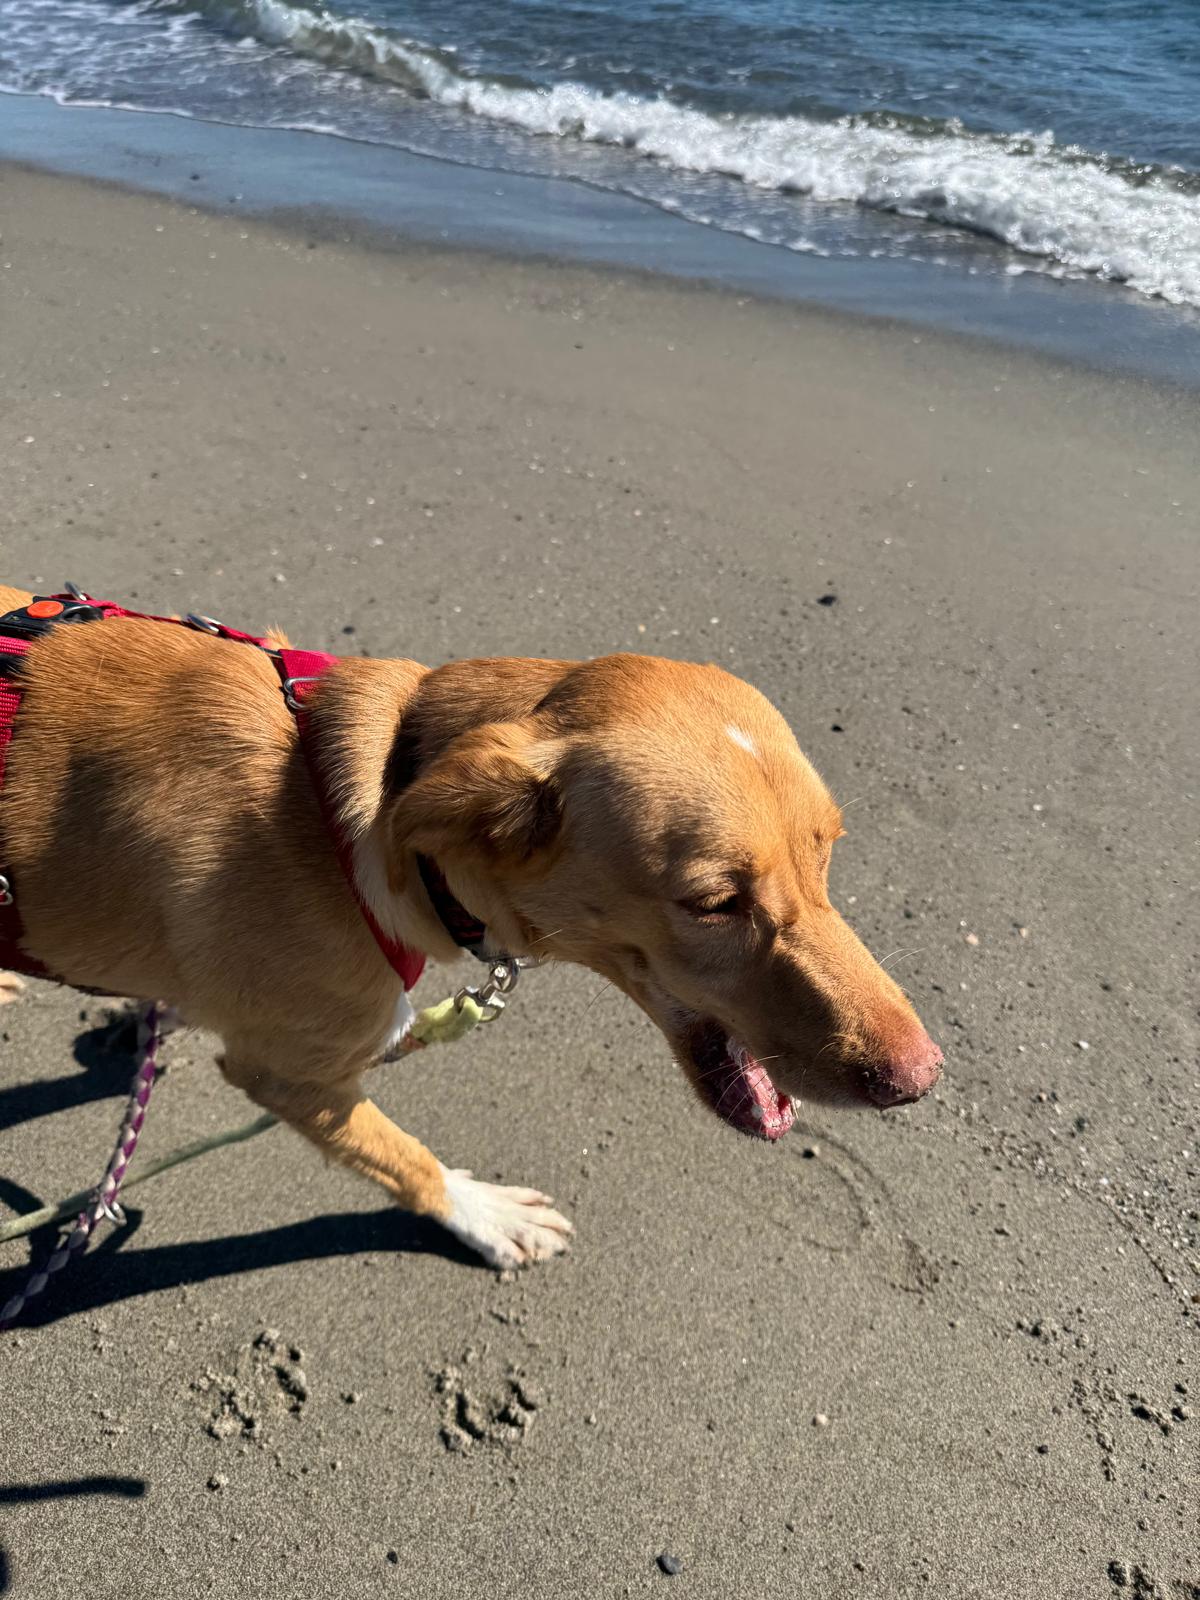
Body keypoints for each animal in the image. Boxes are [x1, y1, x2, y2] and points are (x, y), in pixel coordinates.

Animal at [0, 584, 941, 1268]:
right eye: (713, 904)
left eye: (830, 852)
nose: (922, 1078)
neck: (362, 785)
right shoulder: (289, 1073)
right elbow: (404, 1157)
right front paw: (483, 1214)